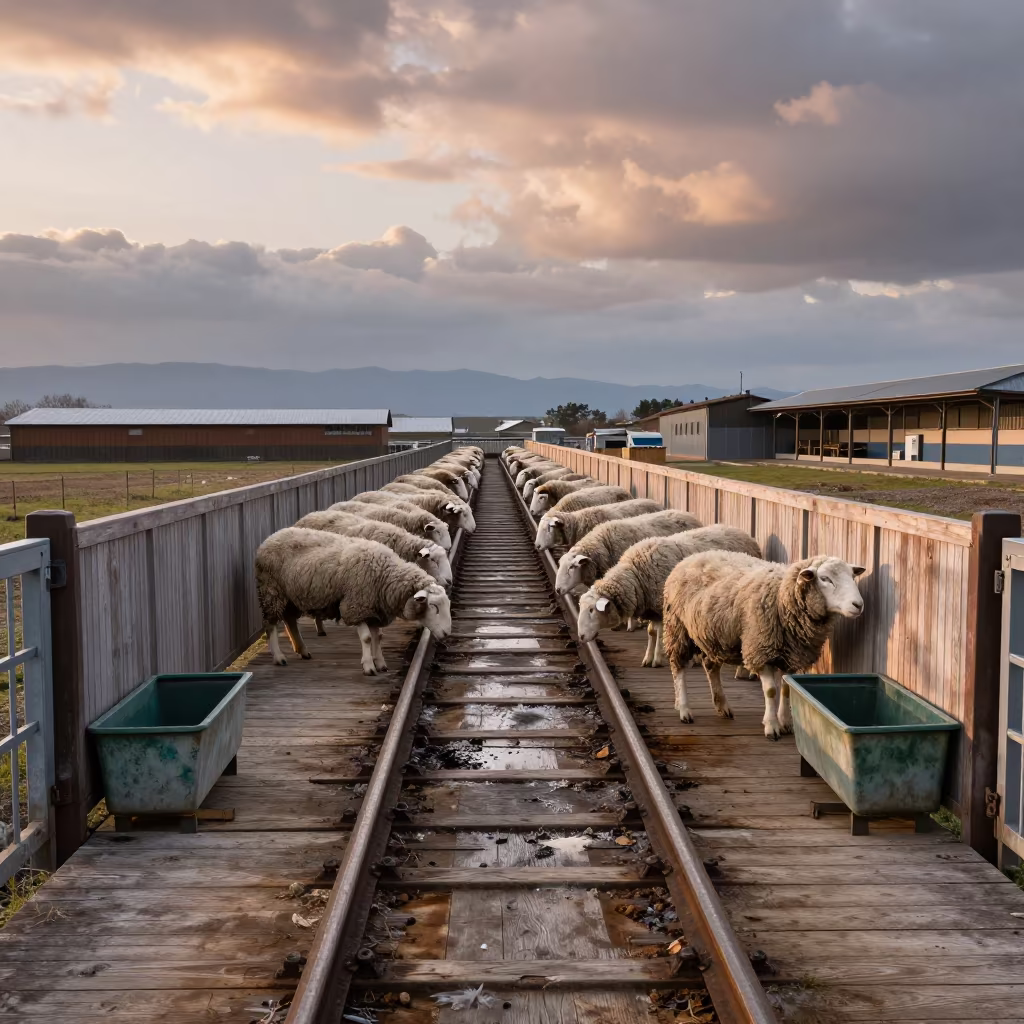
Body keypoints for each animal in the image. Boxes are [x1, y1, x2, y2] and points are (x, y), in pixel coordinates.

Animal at [255, 528, 451, 674]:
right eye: (434, 607)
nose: (447, 634)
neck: (385, 575)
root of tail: (270, 537)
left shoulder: (374, 609)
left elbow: (378, 637)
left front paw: (380, 663)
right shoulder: (356, 606)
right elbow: (366, 638)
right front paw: (369, 666)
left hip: (291, 596)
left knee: (289, 620)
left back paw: (302, 650)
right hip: (271, 591)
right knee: (270, 624)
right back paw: (279, 657)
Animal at [576, 525, 762, 669]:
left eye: (592, 610)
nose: (581, 637)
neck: (636, 575)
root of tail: (744, 533)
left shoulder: (661, 606)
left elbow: (659, 632)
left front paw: (657, 659)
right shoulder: (652, 607)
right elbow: (651, 632)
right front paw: (648, 658)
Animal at [661, 552, 865, 738]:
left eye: (852, 576)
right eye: (825, 579)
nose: (858, 605)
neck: (781, 596)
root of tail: (691, 557)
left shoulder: (793, 655)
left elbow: (786, 689)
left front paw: (786, 723)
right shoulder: (761, 651)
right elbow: (771, 691)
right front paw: (772, 726)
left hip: (712, 636)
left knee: (711, 667)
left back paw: (722, 705)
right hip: (678, 627)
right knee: (678, 667)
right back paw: (684, 709)